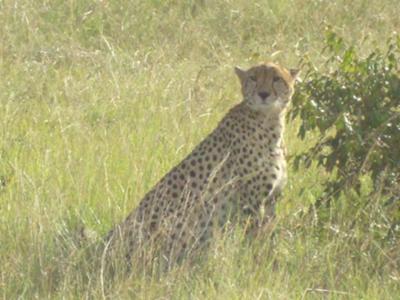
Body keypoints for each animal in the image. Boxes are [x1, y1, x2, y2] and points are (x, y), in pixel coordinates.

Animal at [104, 61, 298, 270]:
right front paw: (260, 263)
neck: (270, 120)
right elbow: (257, 238)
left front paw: (273, 260)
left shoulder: (271, 200)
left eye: (276, 78)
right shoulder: (251, 202)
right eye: (253, 78)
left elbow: (270, 235)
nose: (263, 94)